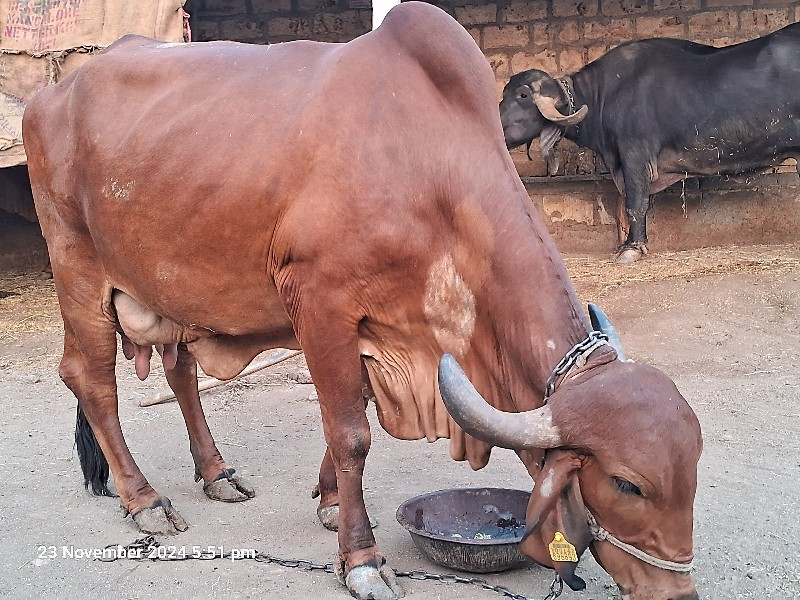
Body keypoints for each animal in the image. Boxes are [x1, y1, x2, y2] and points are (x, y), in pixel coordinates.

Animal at [23, 2, 700, 596]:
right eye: (628, 484)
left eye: (694, 465)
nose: (676, 589)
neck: (427, 166)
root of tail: (53, 92)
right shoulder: (320, 300)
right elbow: (350, 432)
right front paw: (362, 557)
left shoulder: (376, 325)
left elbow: (349, 421)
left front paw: (327, 503)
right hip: (77, 264)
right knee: (90, 380)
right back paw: (144, 500)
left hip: (172, 285)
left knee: (180, 371)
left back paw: (217, 474)